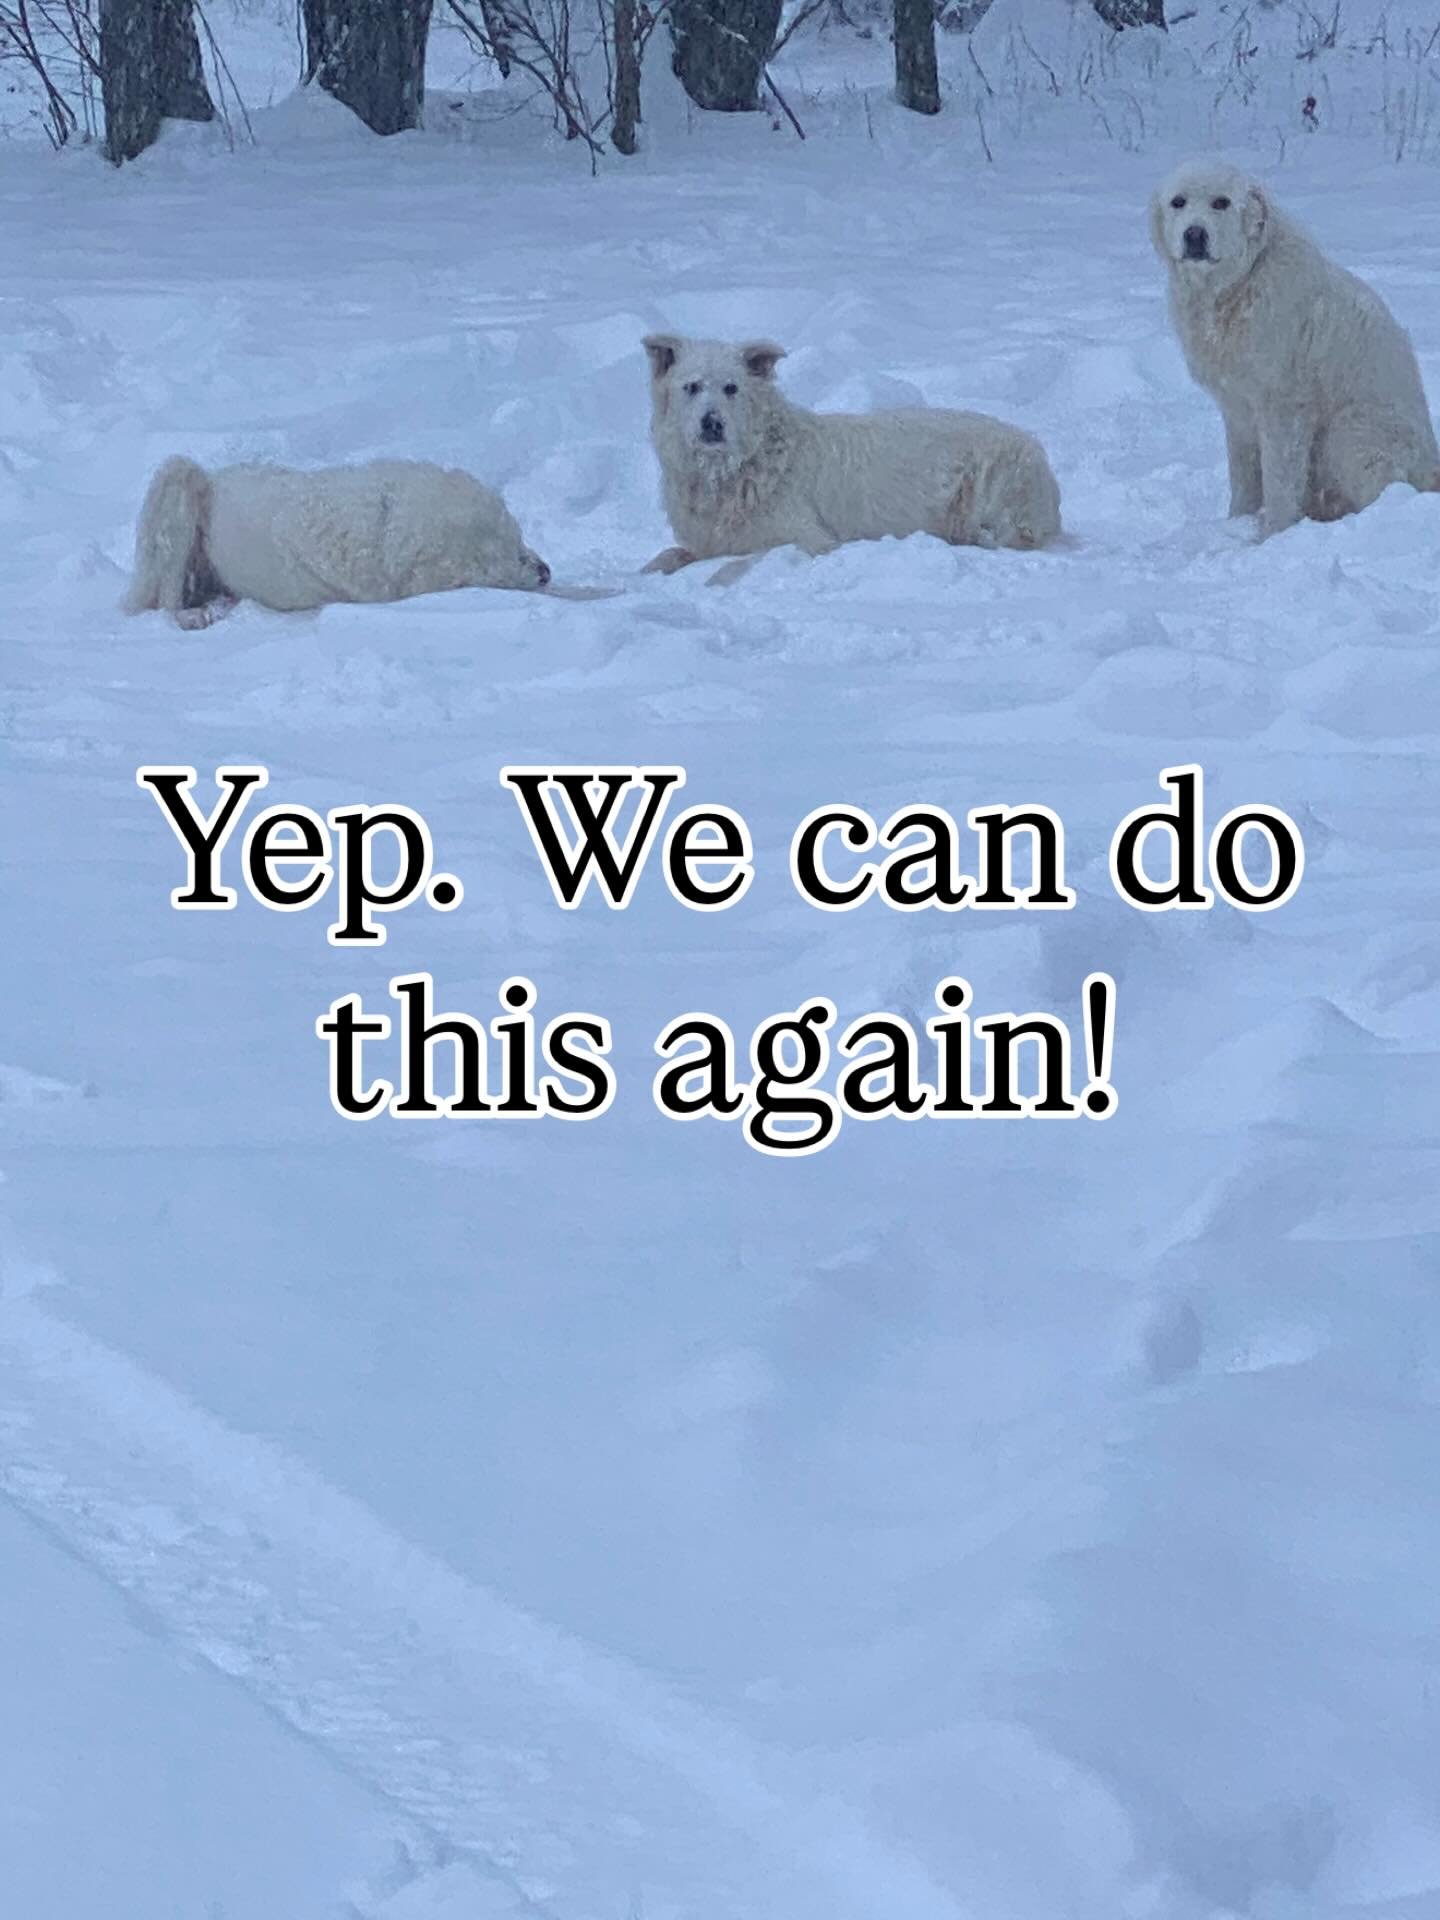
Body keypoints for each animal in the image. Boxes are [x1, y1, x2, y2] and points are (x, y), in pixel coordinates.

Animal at [124, 456, 550, 626]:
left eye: (521, 539)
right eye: (513, 553)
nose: (545, 570)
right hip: (179, 485)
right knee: (163, 592)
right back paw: (191, 616)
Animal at [640, 335, 1061, 573]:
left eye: (731, 388)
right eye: (692, 387)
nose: (712, 423)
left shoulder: (811, 540)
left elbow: (739, 563)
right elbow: (665, 558)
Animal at [1152, 159, 1440, 538]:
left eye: (1221, 203)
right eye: (1178, 202)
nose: (1194, 235)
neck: (1238, 286)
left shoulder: (1284, 406)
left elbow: (1278, 478)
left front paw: (1272, 535)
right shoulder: (1237, 408)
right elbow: (1243, 476)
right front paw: (1237, 522)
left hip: (1349, 432)